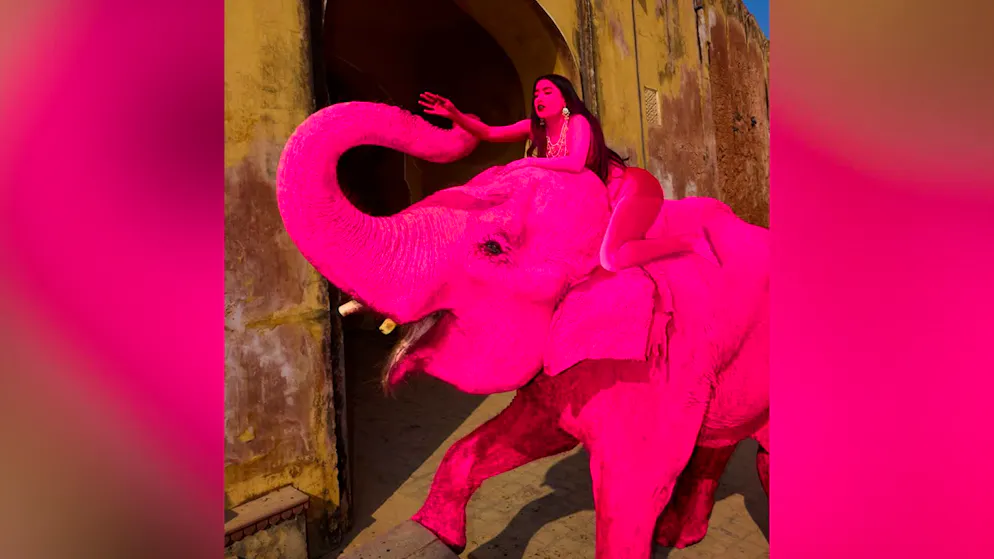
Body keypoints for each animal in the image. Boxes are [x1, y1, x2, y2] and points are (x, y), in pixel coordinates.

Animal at [276, 101, 769, 559]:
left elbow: (633, 488)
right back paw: (679, 536)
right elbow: (516, 434)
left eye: (493, 248)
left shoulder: (662, 363)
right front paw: (433, 537)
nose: (447, 114)